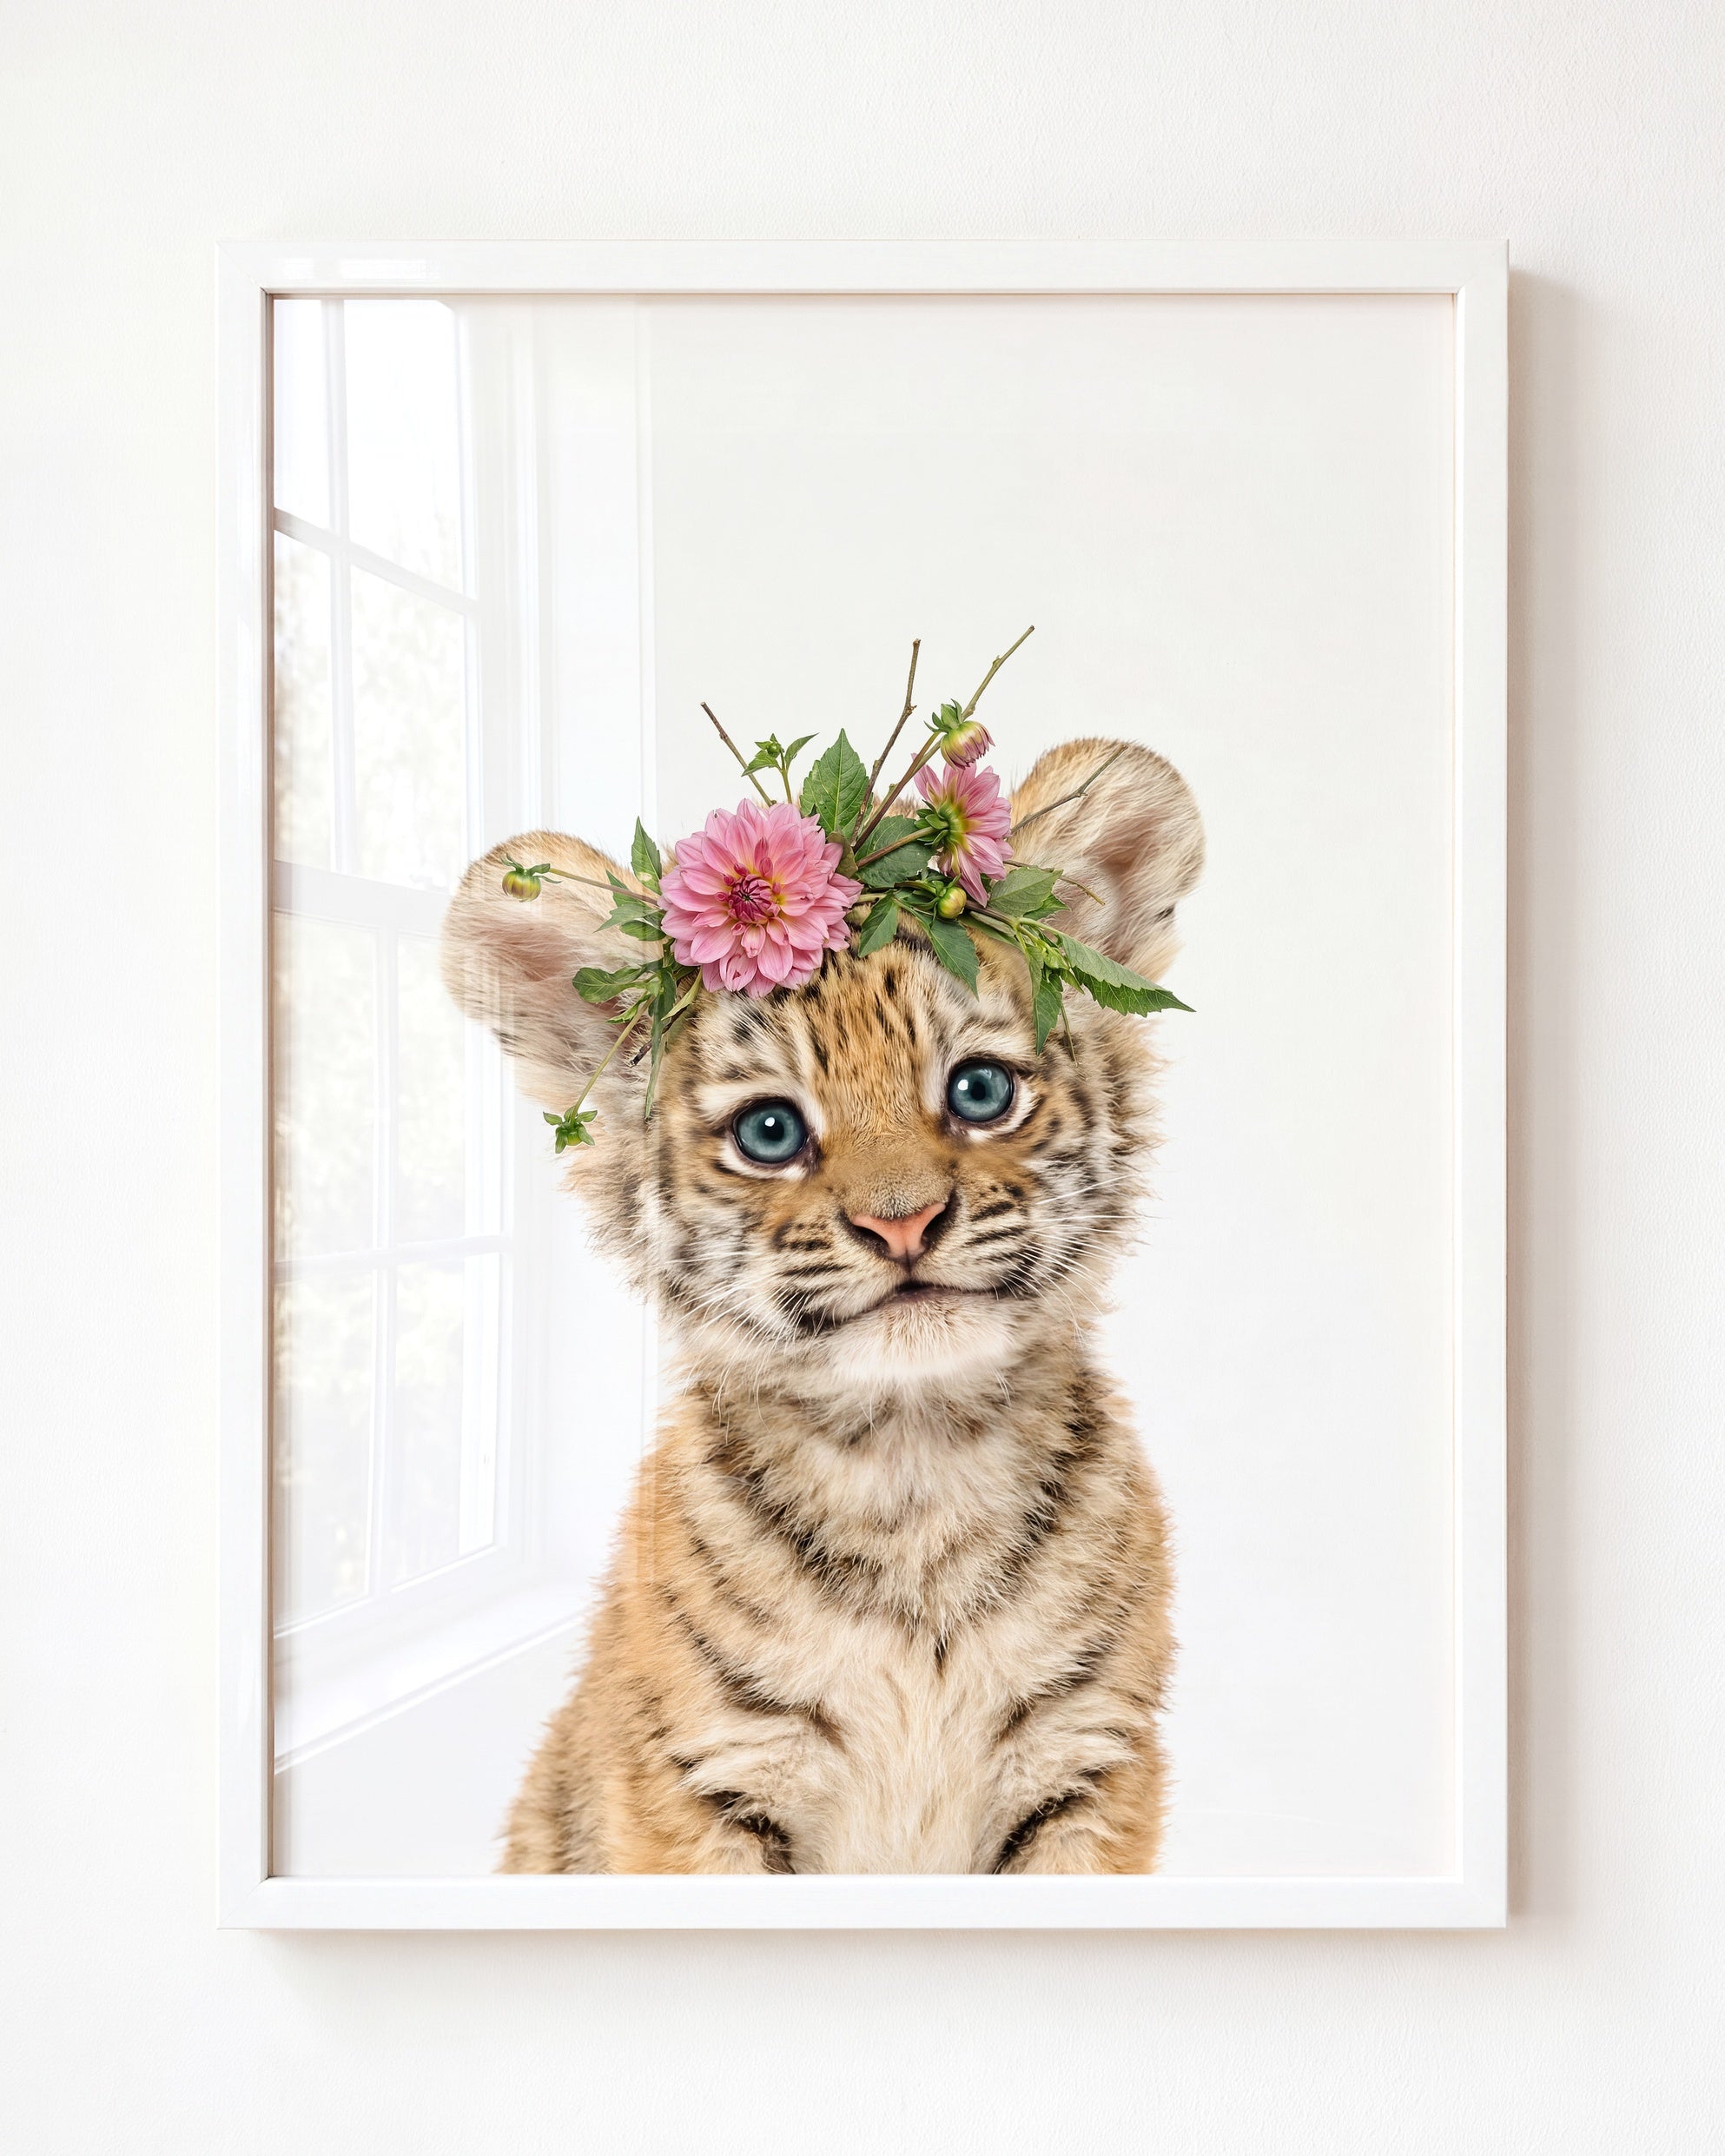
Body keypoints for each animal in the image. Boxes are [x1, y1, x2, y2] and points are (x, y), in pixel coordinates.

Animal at [440, 736, 1204, 1874]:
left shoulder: (1088, 1762)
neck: (914, 1467)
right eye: (770, 1131)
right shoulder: (704, 1778)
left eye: (980, 1091)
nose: (903, 1223)